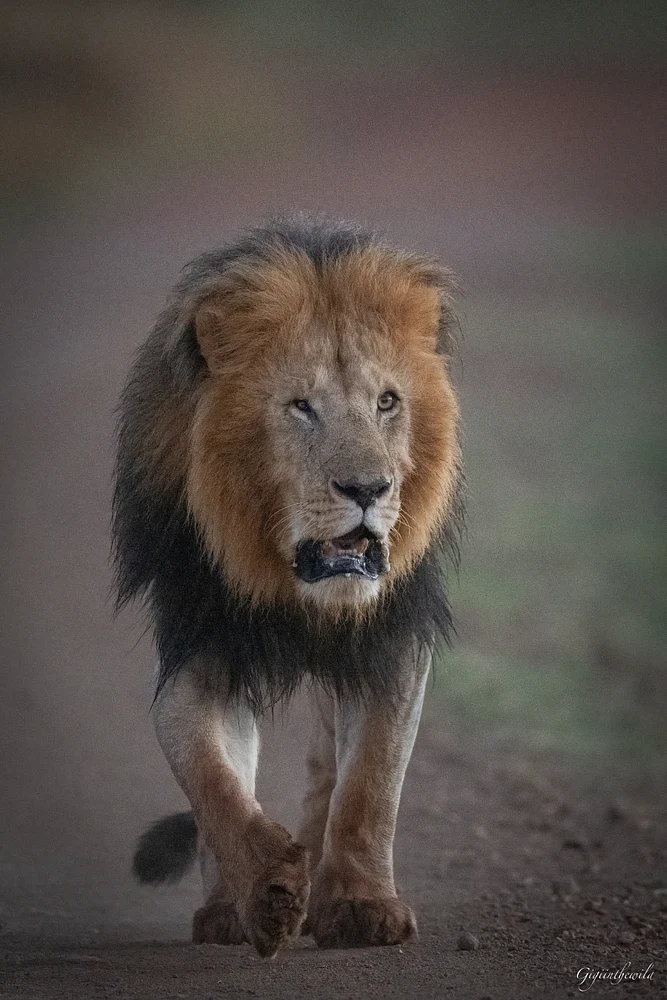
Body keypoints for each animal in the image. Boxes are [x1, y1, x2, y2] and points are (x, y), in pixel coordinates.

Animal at [113, 215, 463, 957]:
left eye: (388, 402)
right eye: (301, 406)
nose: (368, 488)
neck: (291, 586)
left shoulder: (389, 640)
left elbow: (371, 785)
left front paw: (361, 907)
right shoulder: (196, 646)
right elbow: (213, 782)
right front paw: (268, 892)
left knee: (328, 772)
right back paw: (231, 907)